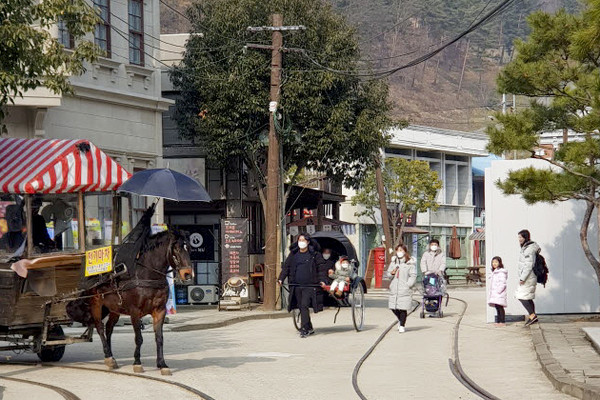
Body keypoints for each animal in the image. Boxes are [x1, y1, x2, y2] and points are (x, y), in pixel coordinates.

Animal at [84, 230, 191, 376]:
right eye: (176, 249)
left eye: (188, 248)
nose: (188, 274)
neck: (147, 275)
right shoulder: (134, 312)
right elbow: (138, 338)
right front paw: (137, 362)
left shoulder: (160, 311)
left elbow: (159, 338)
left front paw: (162, 364)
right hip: (96, 304)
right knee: (100, 328)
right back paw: (108, 356)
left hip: (114, 308)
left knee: (109, 328)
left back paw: (112, 357)